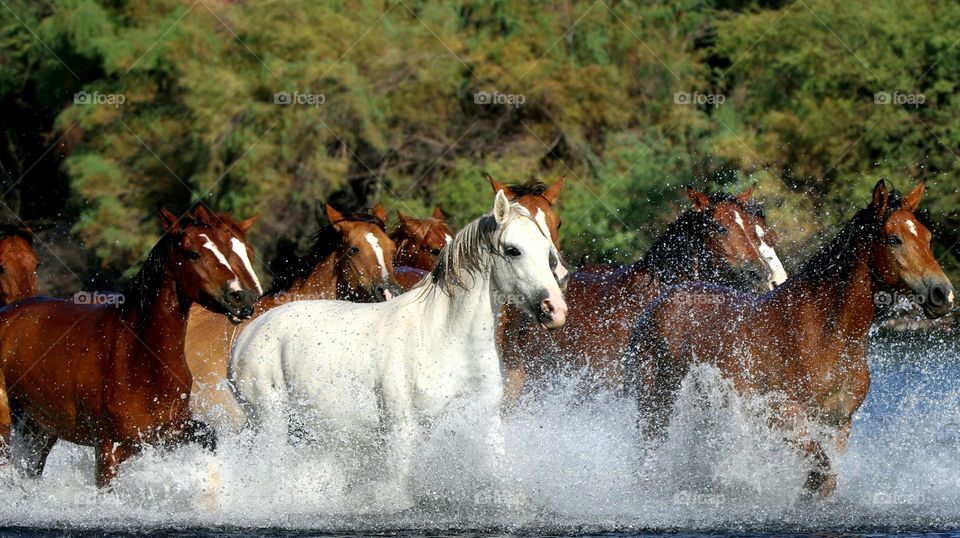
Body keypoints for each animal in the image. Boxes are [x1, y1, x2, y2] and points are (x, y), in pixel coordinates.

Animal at [0, 206, 261, 487]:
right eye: (194, 254)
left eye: (243, 251)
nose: (243, 297)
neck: (139, 358)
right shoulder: (107, 450)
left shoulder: (169, 432)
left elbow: (208, 437)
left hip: (38, 431)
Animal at [228, 190, 568, 505]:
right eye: (513, 250)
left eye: (547, 251)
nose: (555, 309)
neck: (445, 339)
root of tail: (247, 335)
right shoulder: (402, 428)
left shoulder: (486, 418)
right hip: (270, 421)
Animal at [624, 180, 955, 495]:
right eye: (894, 239)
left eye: (927, 238)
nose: (943, 294)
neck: (824, 334)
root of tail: (662, 300)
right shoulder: (782, 415)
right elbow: (820, 471)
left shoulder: (837, 424)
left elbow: (825, 478)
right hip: (655, 403)